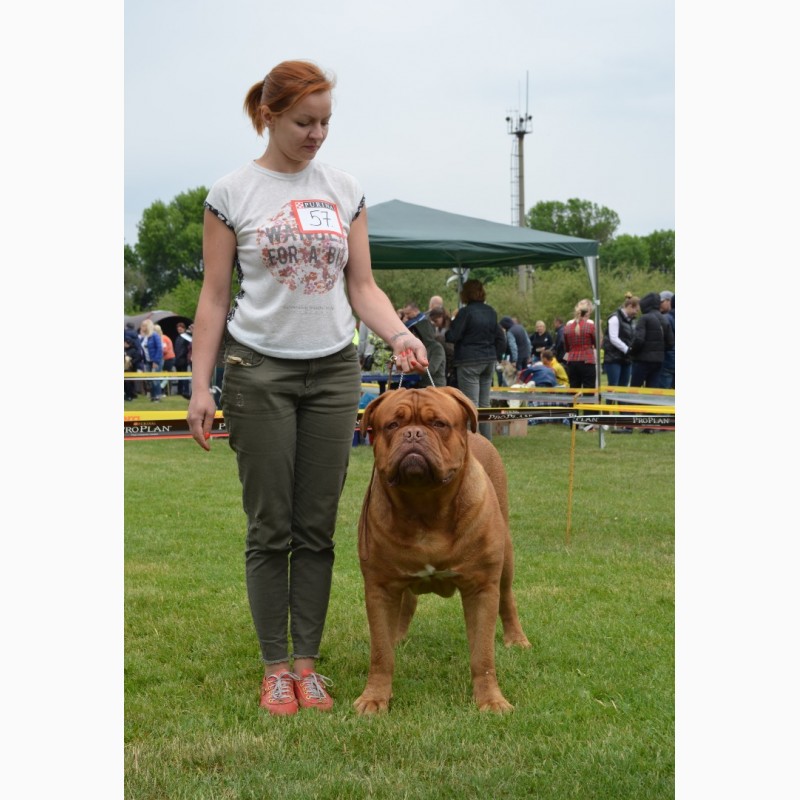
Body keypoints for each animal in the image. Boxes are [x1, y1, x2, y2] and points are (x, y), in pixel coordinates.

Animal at [352, 384, 528, 716]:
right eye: (392, 425)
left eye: (439, 424)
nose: (413, 434)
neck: (424, 505)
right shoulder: (380, 587)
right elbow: (380, 653)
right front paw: (374, 698)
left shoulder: (481, 588)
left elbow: (483, 656)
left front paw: (491, 700)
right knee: (406, 603)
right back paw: (398, 635)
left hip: (506, 560)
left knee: (507, 598)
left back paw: (516, 639)